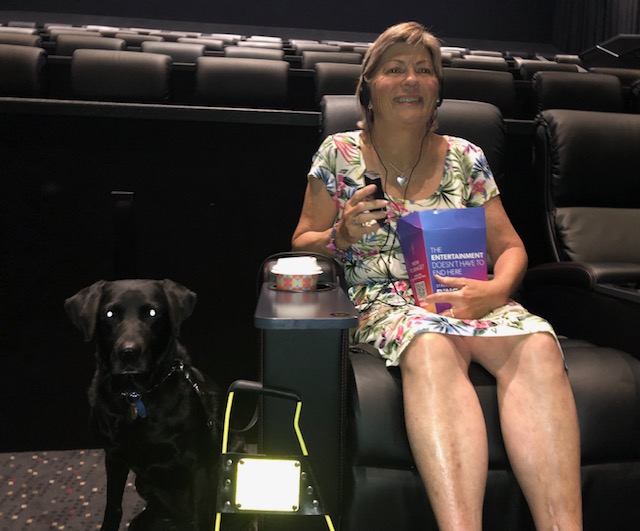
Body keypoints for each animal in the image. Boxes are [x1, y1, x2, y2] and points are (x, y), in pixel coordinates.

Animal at [66, 280, 242, 528]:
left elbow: (203, 515)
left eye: (152, 313)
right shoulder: (114, 456)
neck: (136, 394)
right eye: (109, 314)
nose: (129, 353)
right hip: (142, 483)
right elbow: (113, 507)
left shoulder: (197, 465)